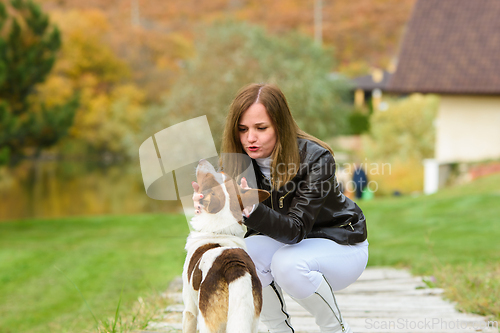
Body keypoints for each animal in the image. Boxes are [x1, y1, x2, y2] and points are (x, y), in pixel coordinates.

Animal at [183, 158, 270, 332]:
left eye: (209, 178)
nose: (202, 160)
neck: (219, 230)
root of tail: (235, 267)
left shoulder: (189, 309)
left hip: (208, 323)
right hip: (252, 321)